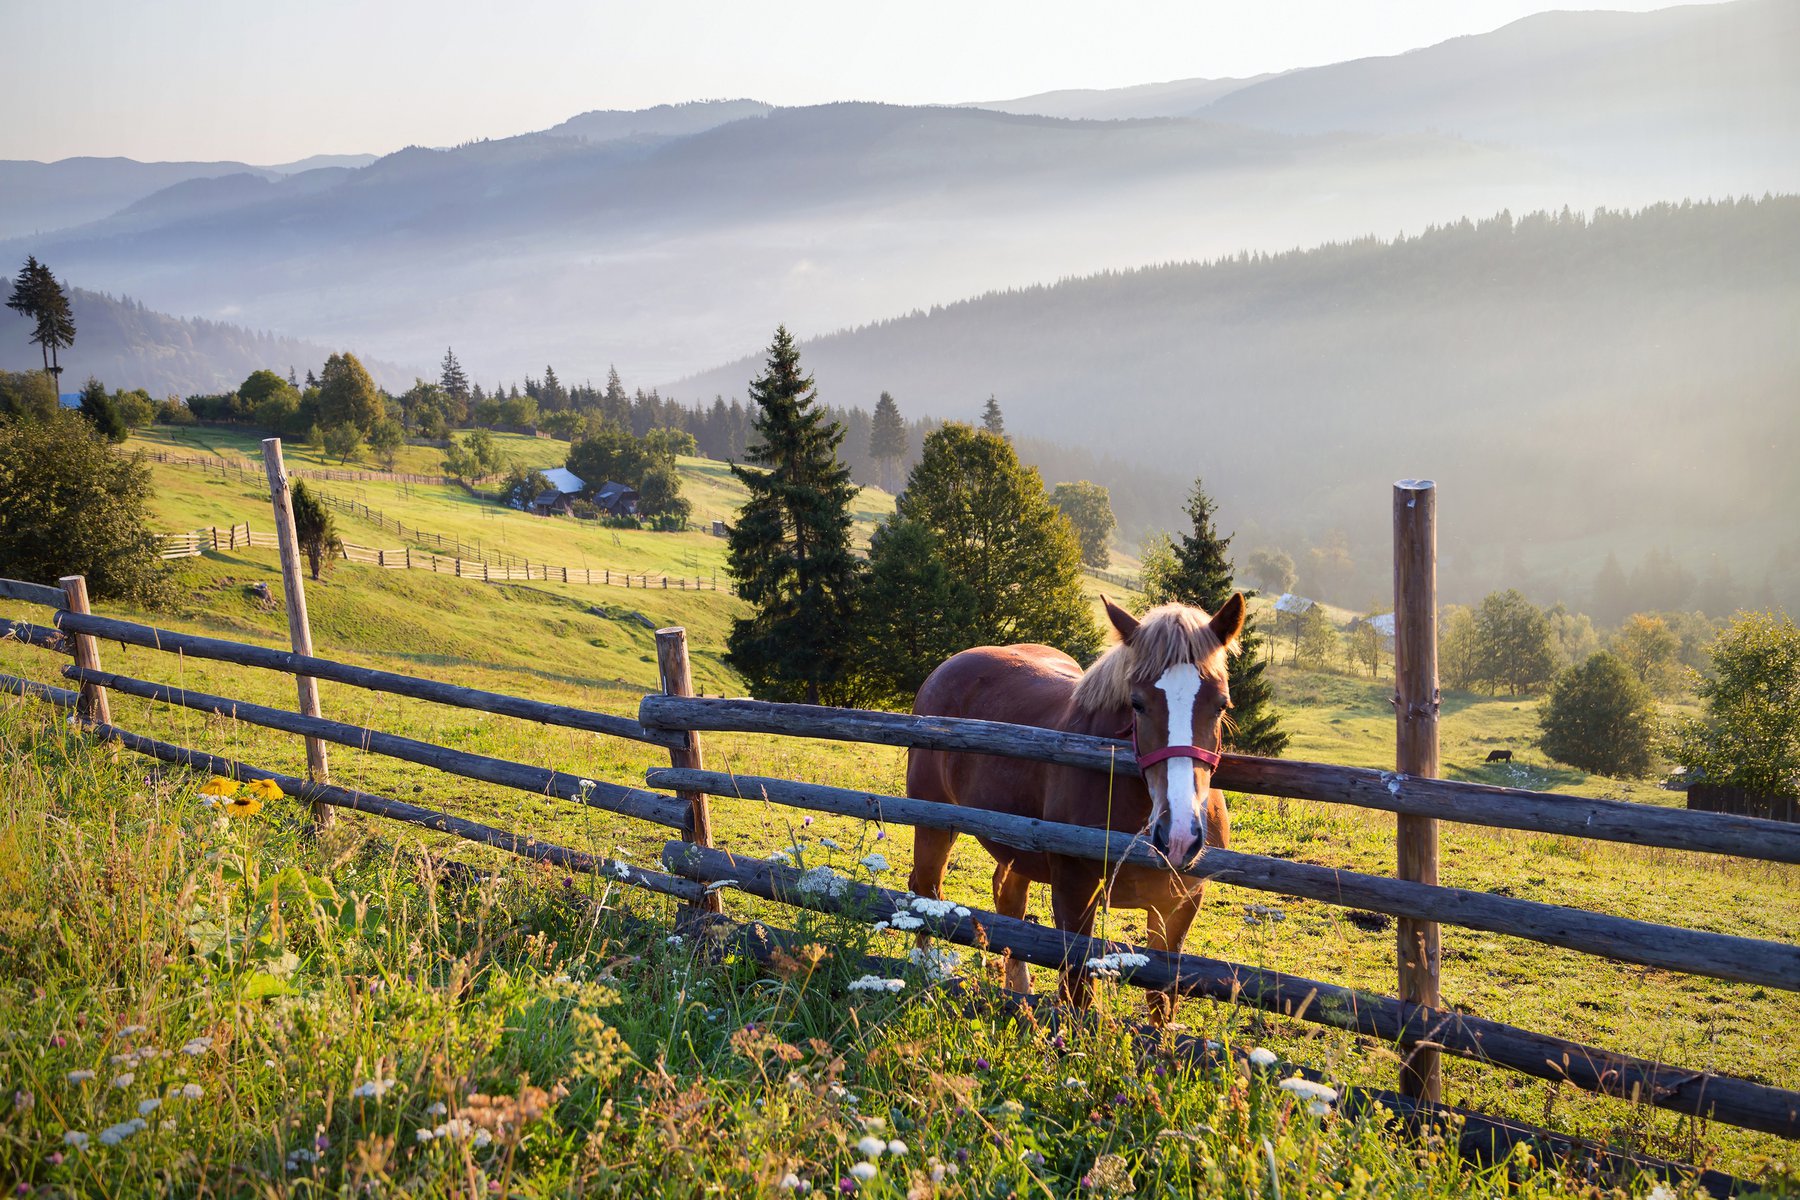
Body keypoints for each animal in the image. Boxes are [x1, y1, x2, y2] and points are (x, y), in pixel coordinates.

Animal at [907, 593, 1245, 1014]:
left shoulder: (1178, 907)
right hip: (933, 823)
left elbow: (1160, 999)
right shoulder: (1073, 894)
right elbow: (1078, 992)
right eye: (1137, 703)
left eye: (1221, 703)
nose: (1179, 836)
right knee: (927, 889)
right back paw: (925, 974)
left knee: (1009, 902)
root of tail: (948, 666)